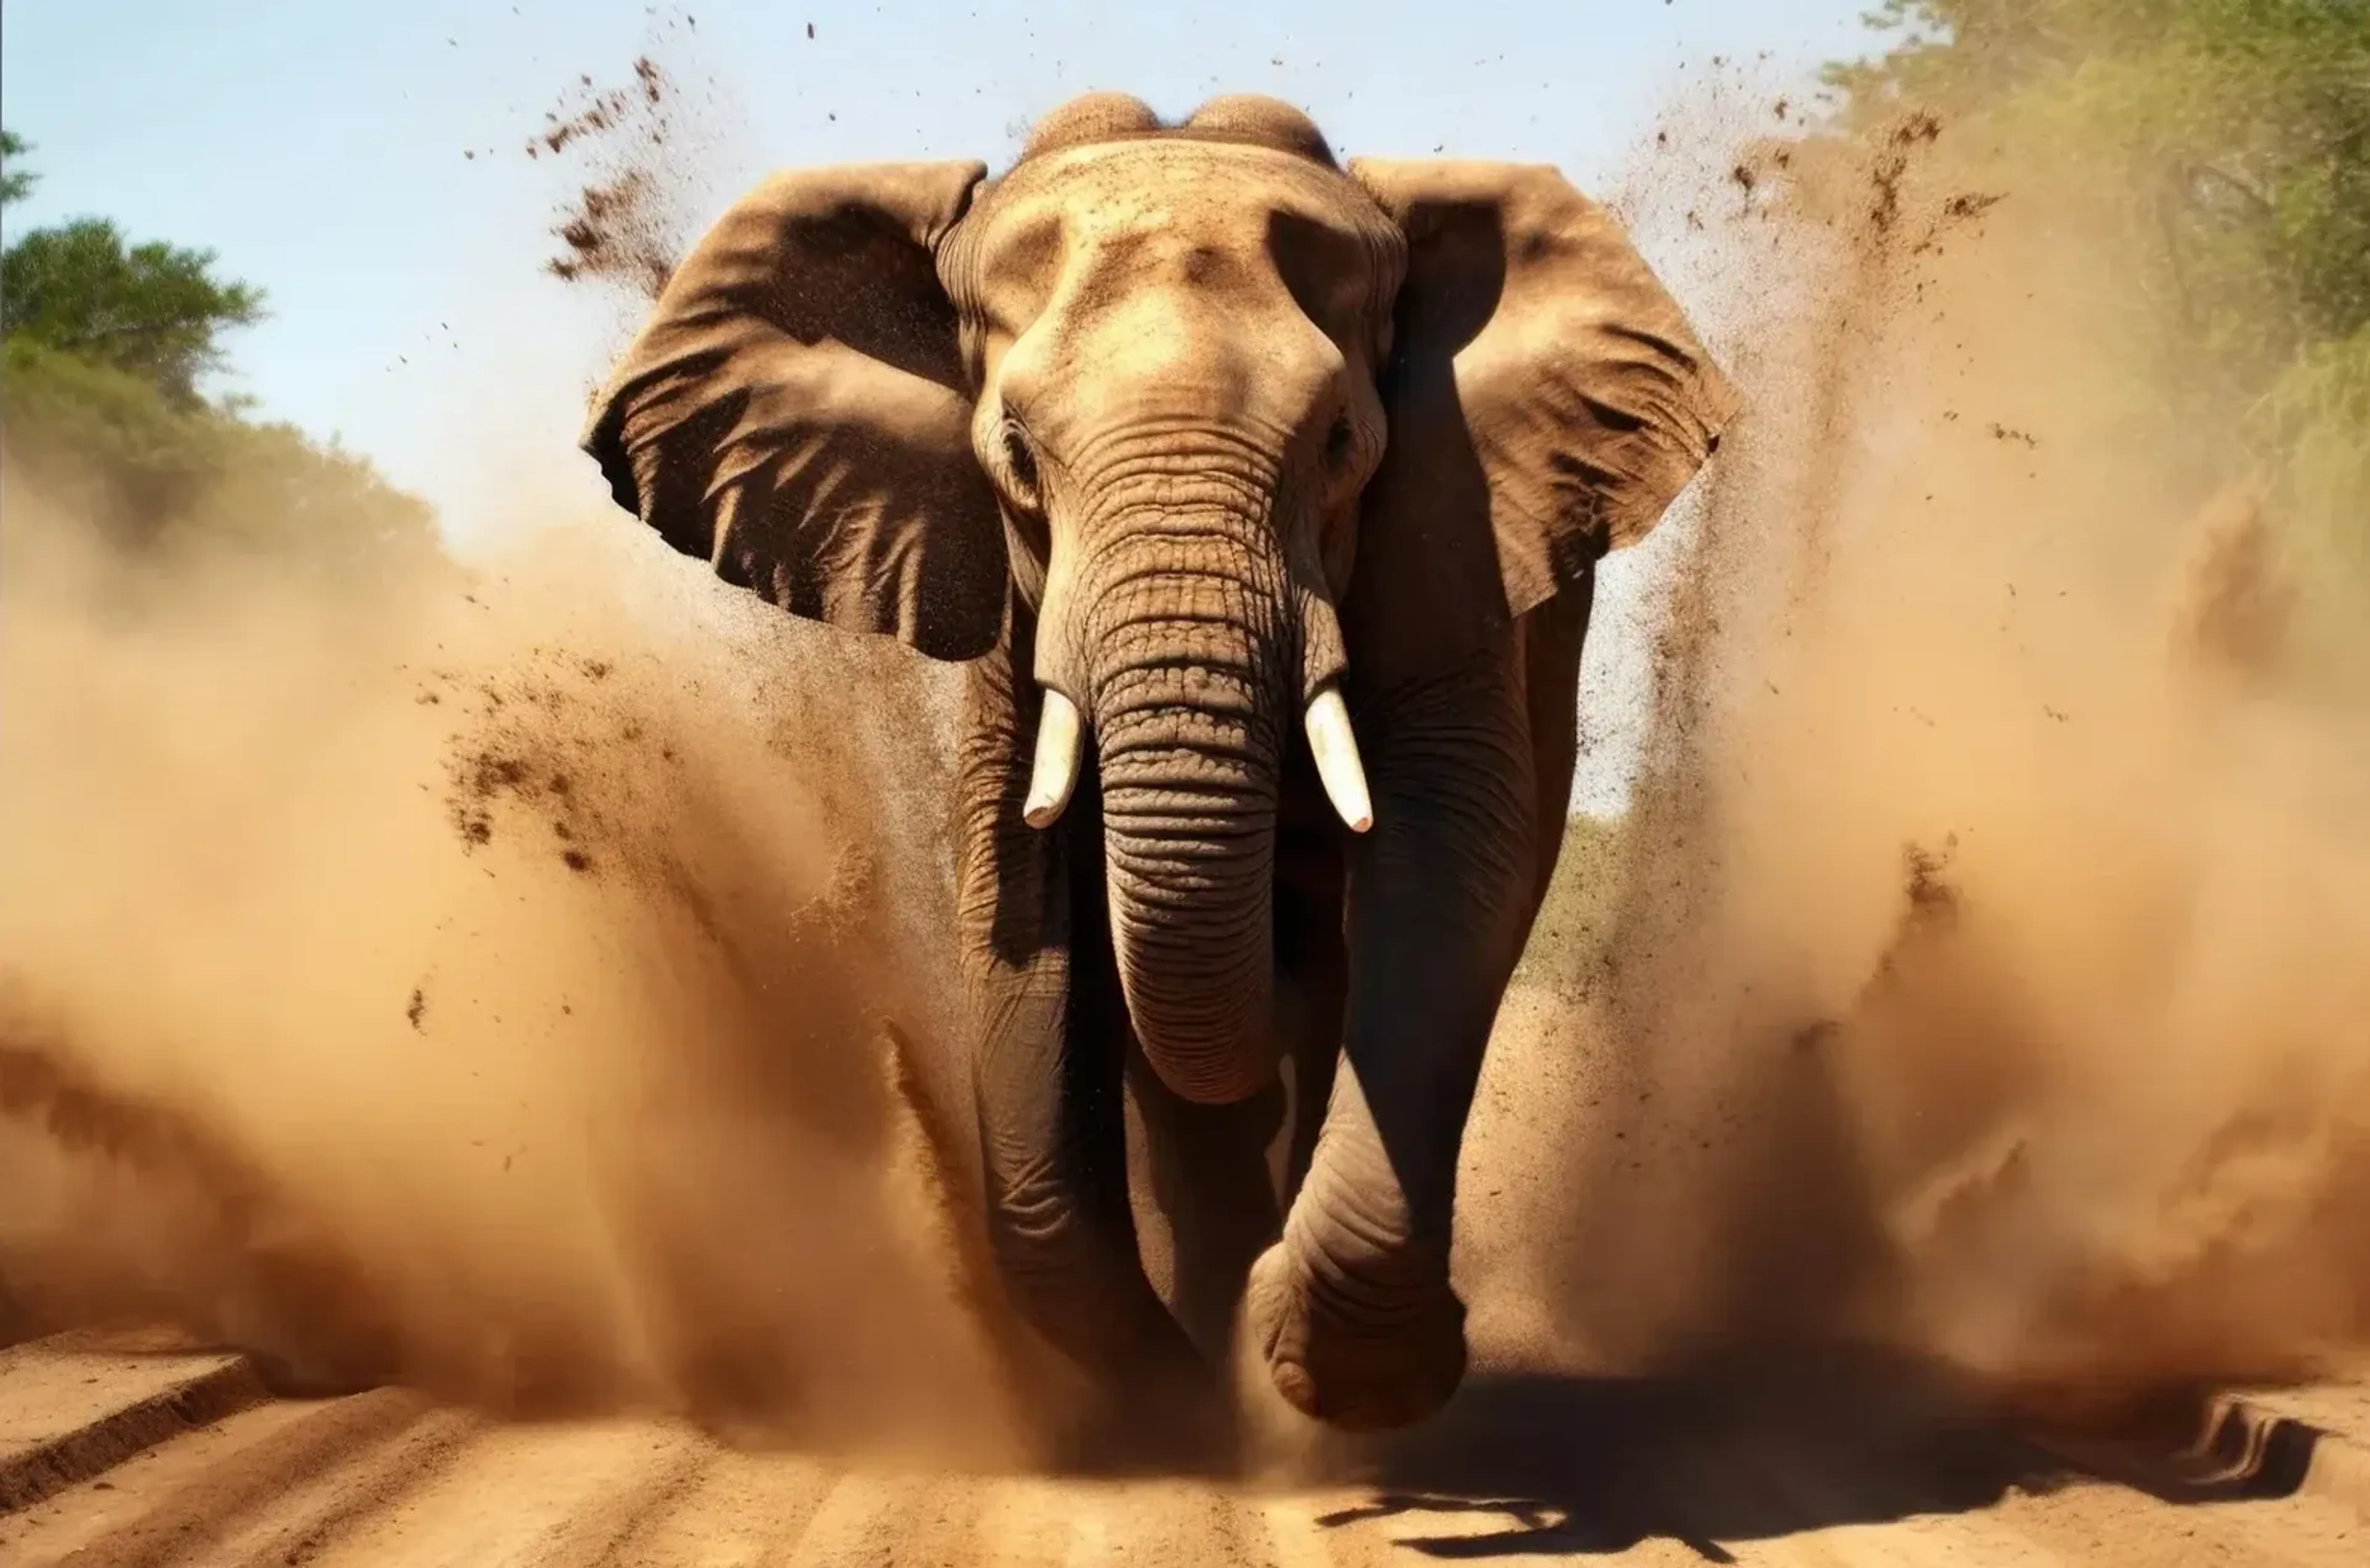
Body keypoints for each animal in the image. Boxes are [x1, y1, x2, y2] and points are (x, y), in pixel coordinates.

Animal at [579, 91, 1740, 1445]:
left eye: (1342, 444)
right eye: (1015, 457)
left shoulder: (1456, 534)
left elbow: (1448, 865)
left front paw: (1333, 1382)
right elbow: (1020, 895)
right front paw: (1183, 1396)